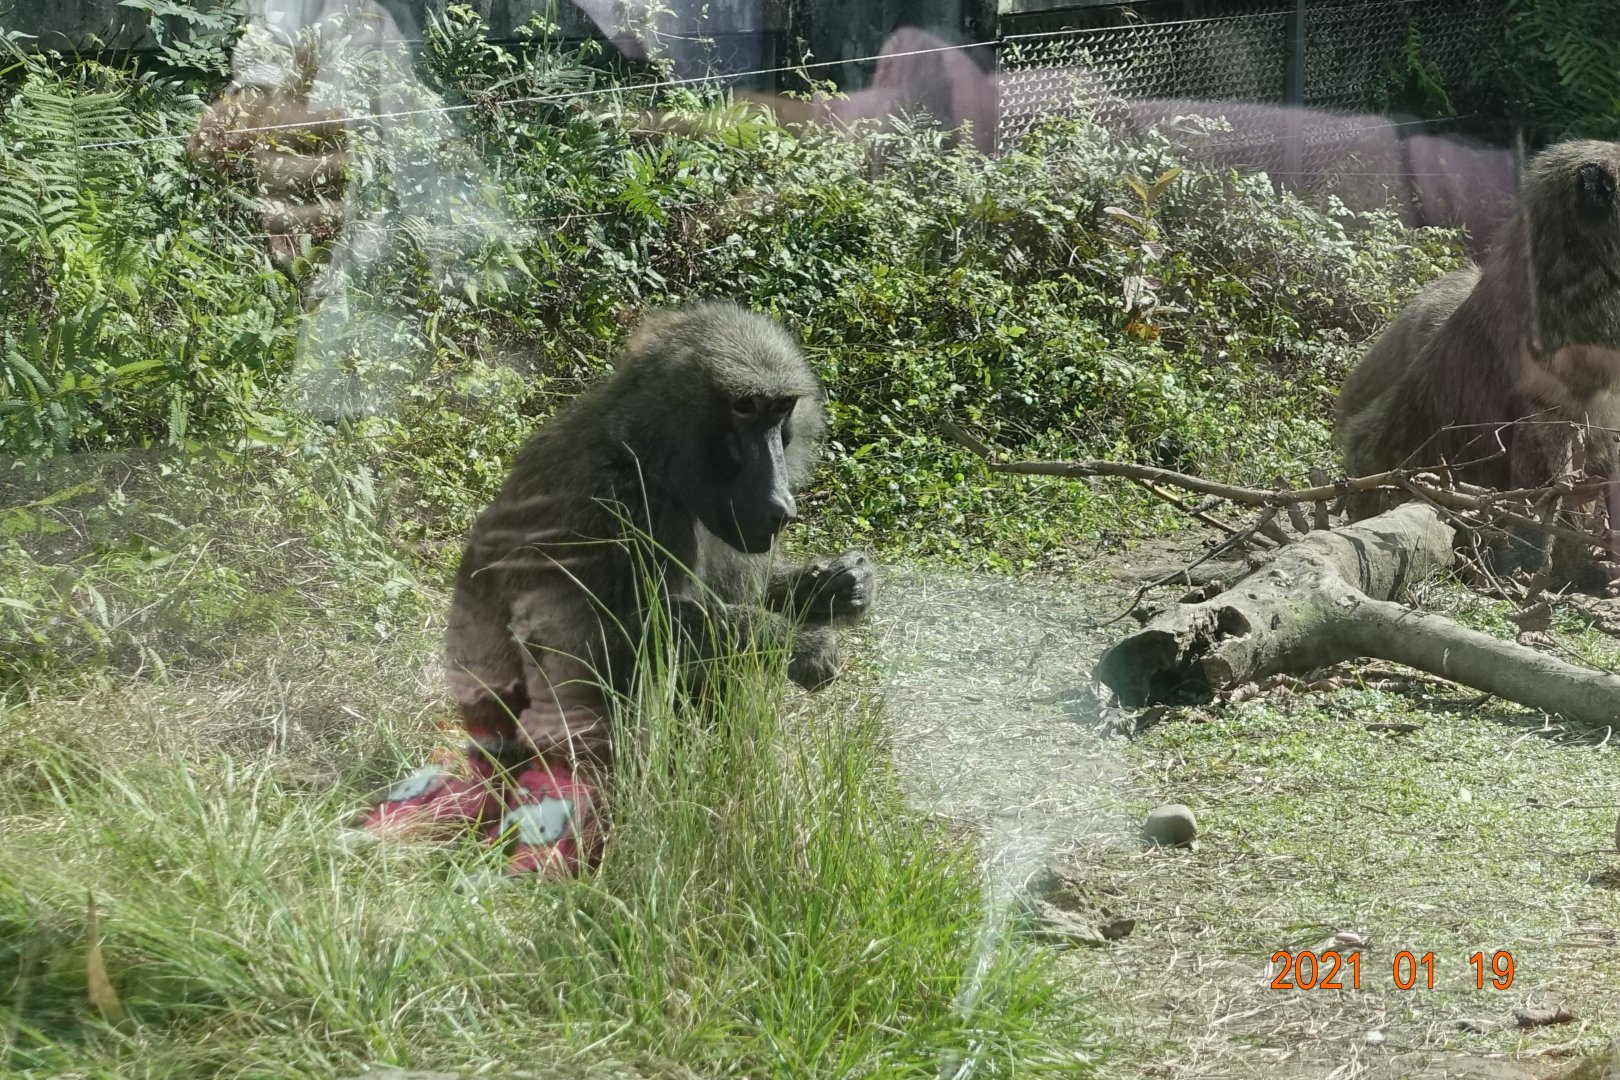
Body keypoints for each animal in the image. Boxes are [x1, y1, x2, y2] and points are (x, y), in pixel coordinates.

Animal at [354, 301, 878, 878]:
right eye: (745, 408)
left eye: (781, 412)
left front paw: (841, 586)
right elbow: (622, 633)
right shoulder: (615, 500)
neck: (650, 454)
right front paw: (804, 642)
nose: (781, 504)